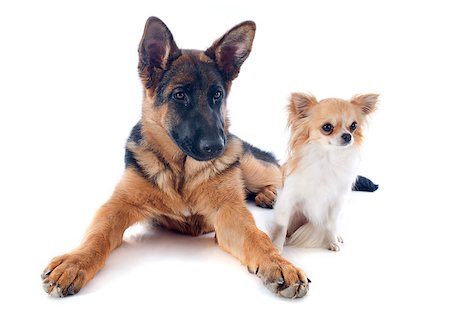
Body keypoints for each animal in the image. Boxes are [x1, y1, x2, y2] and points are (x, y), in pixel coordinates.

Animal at [42, 17, 310, 298]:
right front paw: (74, 262)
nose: (217, 146)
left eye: (217, 95)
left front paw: (279, 263)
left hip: (253, 166)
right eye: (179, 95)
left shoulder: (230, 212)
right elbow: (97, 235)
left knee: (279, 174)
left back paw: (271, 193)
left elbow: (258, 237)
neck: (182, 171)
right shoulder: (117, 206)